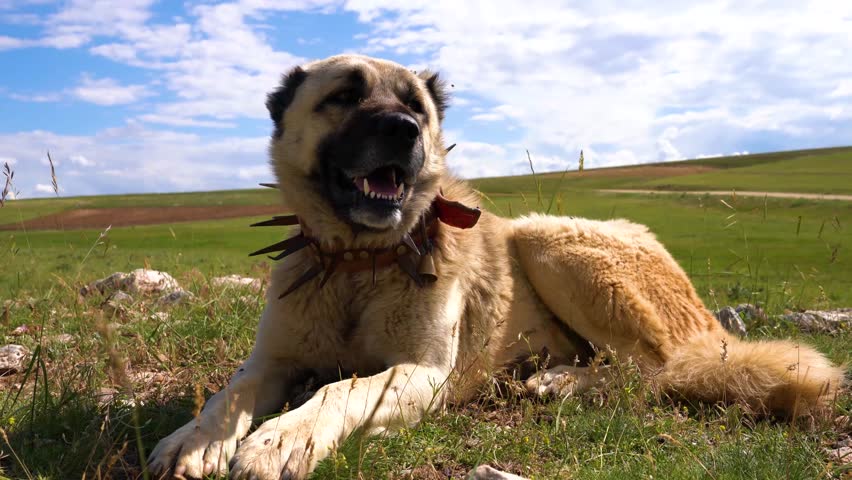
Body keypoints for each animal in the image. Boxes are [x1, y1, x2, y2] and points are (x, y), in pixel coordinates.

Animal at [148, 54, 844, 478]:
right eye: (343, 97)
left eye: (416, 107)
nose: (405, 130)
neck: (357, 262)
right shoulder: (271, 361)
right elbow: (229, 395)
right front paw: (195, 439)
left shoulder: (422, 373)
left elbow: (341, 388)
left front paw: (282, 439)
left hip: (548, 239)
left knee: (653, 370)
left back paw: (563, 383)